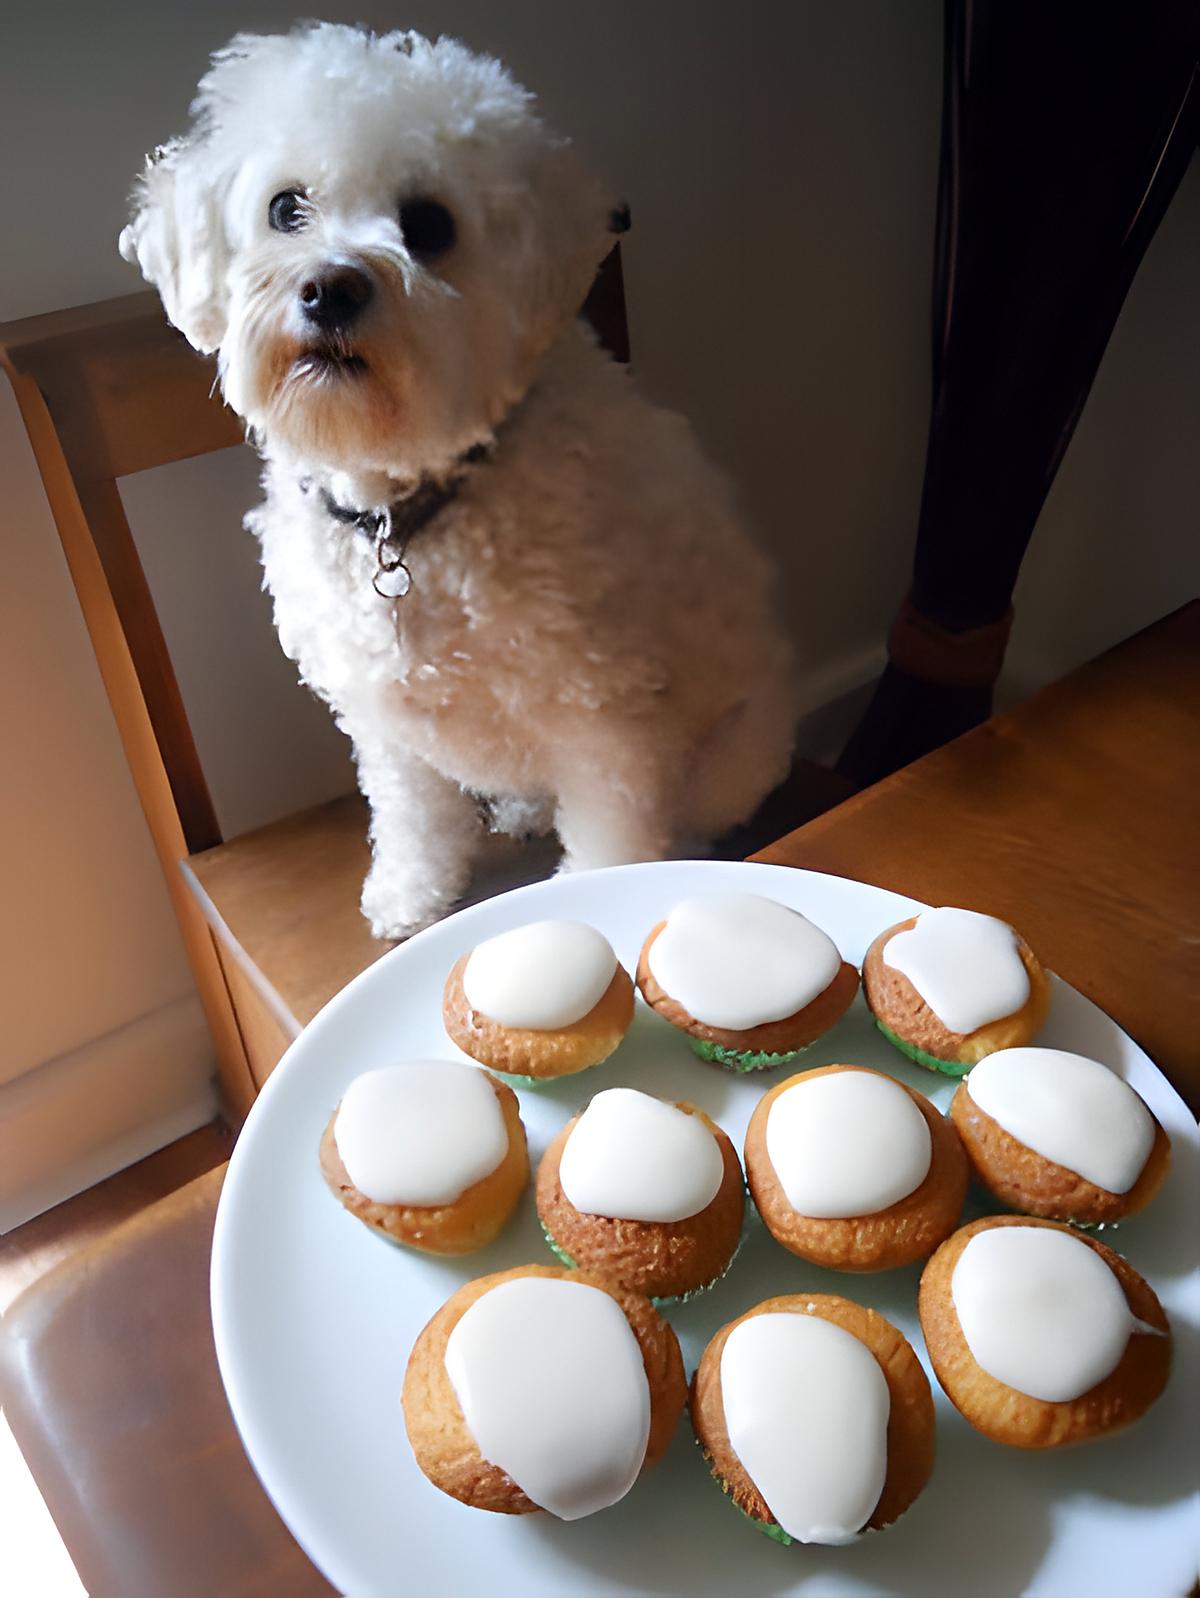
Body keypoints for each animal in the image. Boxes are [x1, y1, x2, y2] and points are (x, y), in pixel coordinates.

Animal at [122, 21, 798, 933]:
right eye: (286, 208)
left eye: (429, 223)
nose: (330, 287)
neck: (405, 516)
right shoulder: (384, 717)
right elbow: (414, 816)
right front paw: (410, 894)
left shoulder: (605, 721)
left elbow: (613, 840)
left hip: (732, 750)